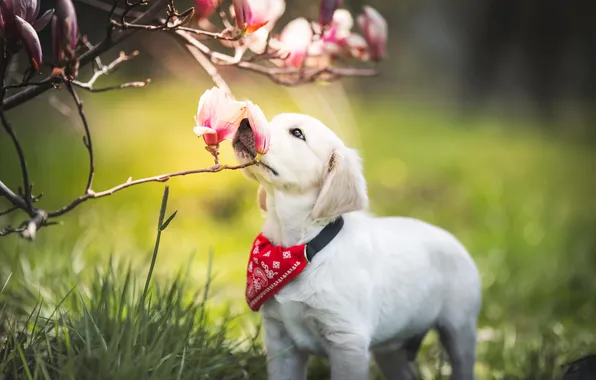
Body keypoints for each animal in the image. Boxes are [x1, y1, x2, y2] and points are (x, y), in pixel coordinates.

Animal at [232, 113, 480, 380]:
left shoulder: (347, 339)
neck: (302, 250)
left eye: (298, 133)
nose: (244, 122)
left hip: (460, 328)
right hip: (391, 350)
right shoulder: (280, 339)